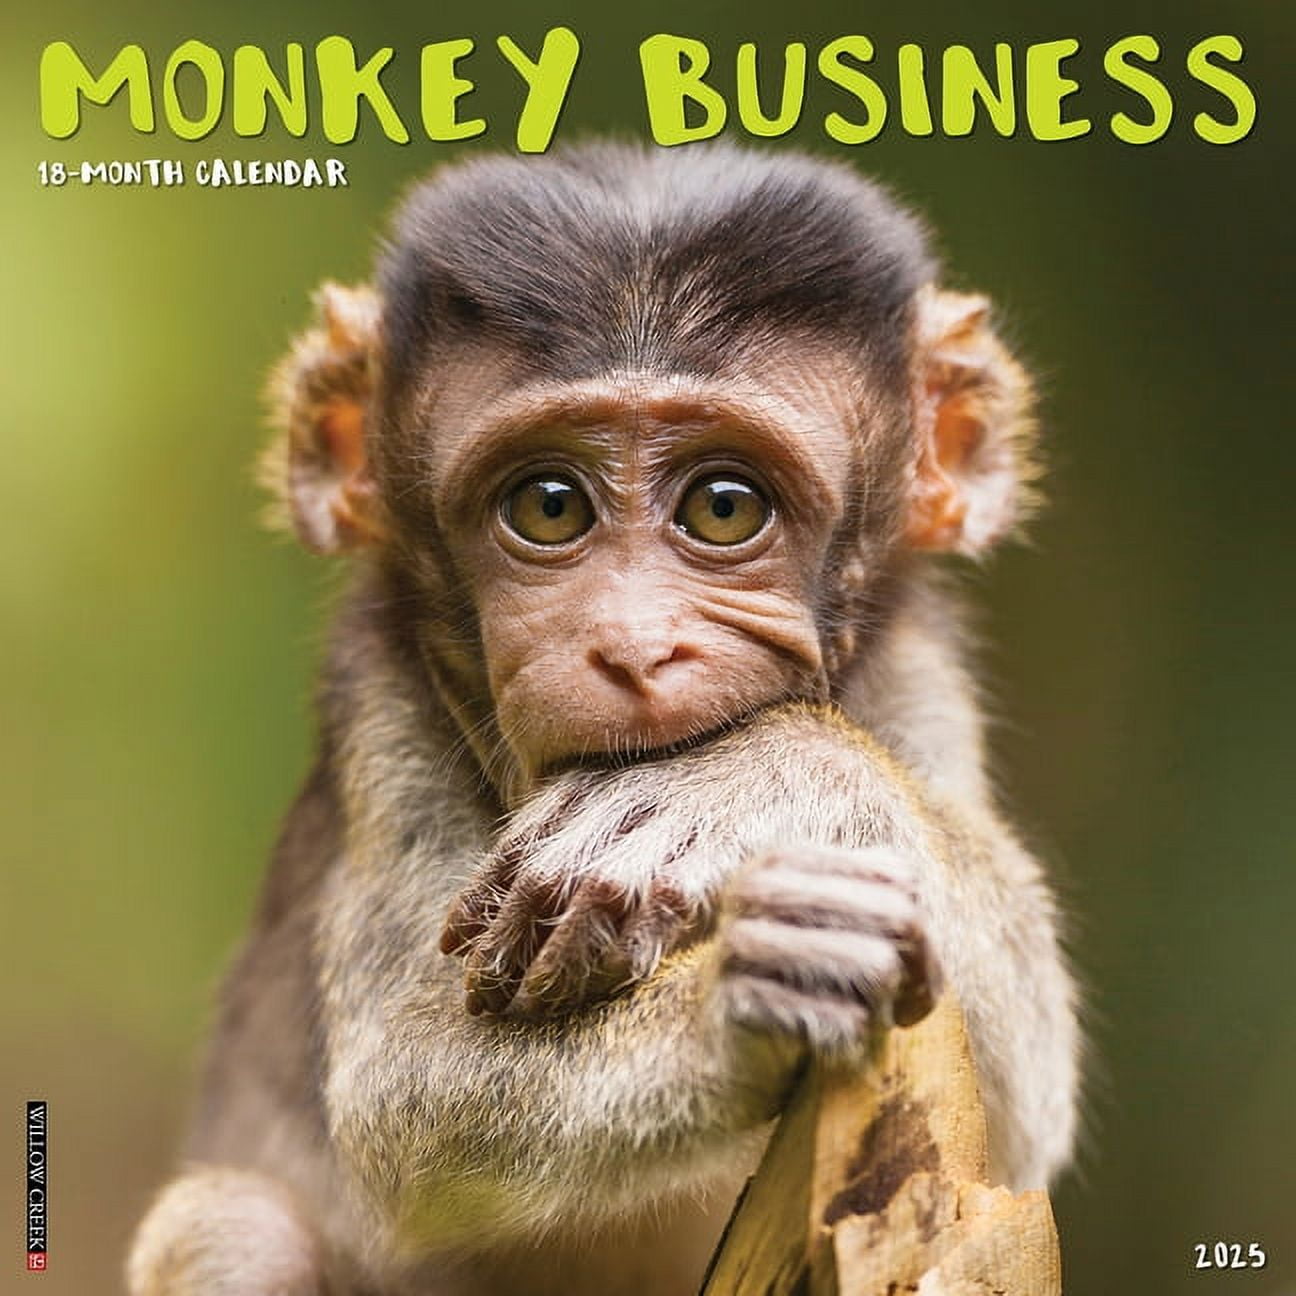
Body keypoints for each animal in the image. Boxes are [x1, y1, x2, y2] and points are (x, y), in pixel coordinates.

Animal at [127, 141, 1079, 1296]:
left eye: (724, 505)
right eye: (549, 505)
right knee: (232, 1223)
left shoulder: (921, 659)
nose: (632, 644)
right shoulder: (378, 697)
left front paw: (734, 784)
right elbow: (405, 1100)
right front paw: (744, 1002)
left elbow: (1018, 1111)